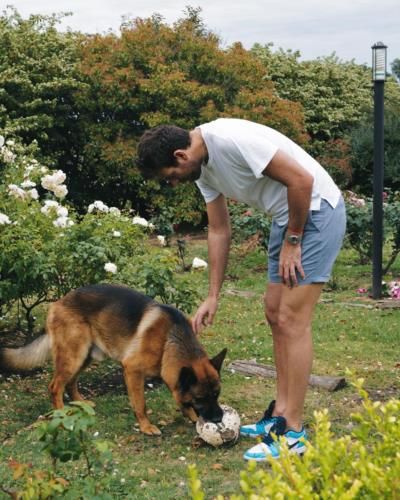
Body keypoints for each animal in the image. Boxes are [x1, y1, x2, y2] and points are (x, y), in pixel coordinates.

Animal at [0, 286, 227, 434]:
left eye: (216, 394)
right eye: (201, 398)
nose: (219, 419)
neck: (170, 338)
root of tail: (58, 302)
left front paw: (191, 416)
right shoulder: (133, 370)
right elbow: (140, 403)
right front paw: (146, 427)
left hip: (85, 356)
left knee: (71, 381)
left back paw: (80, 402)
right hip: (74, 356)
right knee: (55, 386)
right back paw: (62, 414)